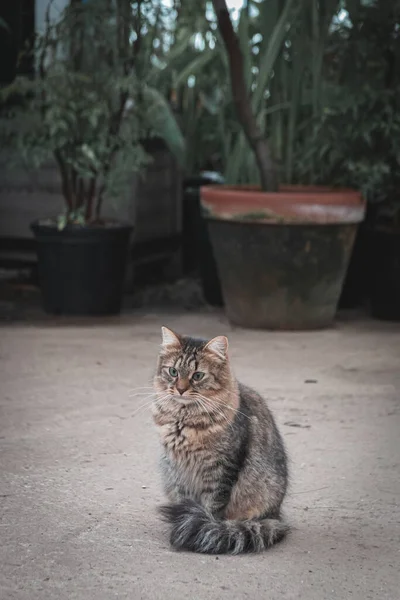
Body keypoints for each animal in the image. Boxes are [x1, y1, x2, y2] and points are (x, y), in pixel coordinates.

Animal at [152, 326, 290, 556]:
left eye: (197, 376)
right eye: (173, 372)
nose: (180, 389)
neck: (183, 420)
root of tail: (276, 515)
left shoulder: (221, 469)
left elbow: (211, 507)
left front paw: (204, 526)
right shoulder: (177, 469)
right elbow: (184, 500)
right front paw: (181, 522)